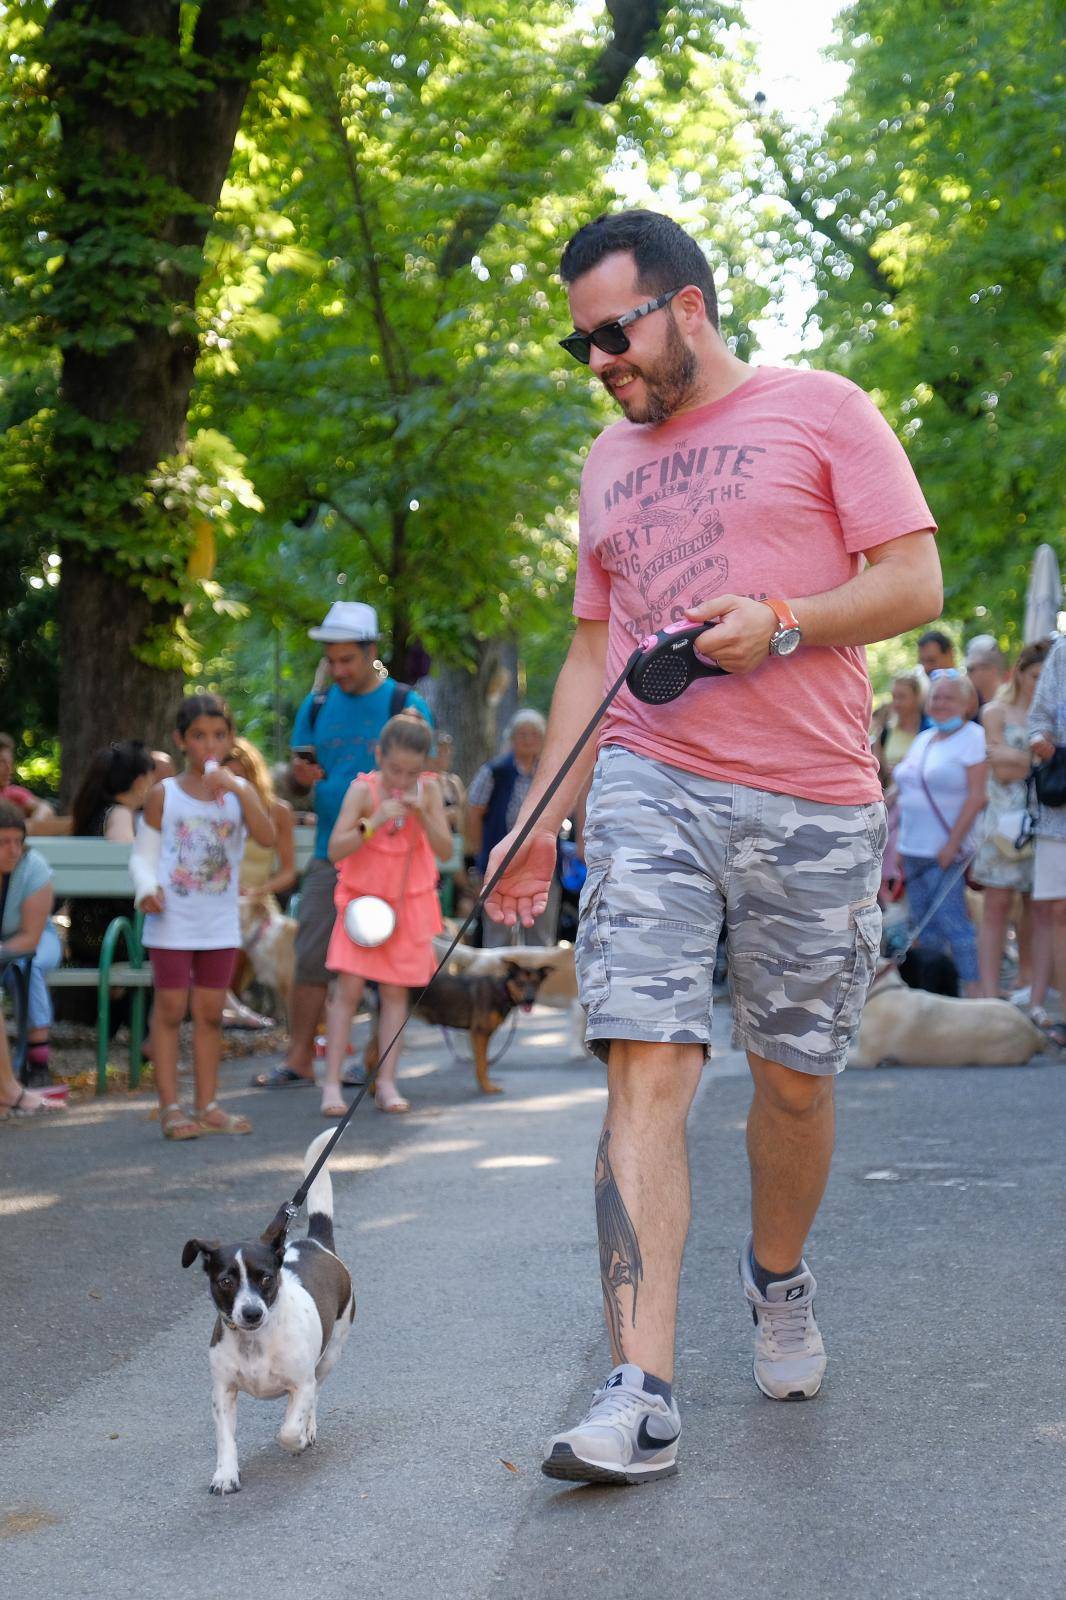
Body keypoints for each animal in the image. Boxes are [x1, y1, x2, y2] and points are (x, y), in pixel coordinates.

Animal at [180, 1132, 350, 1491]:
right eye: (226, 1281)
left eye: (266, 1278)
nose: (251, 1313)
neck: (255, 1342)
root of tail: (317, 1243)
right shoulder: (223, 1392)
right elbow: (225, 1439)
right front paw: (226, 1474)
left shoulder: (301, 1383)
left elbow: (289, 1427)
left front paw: (297, 1439)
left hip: (331, 1353)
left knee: (315, 1394)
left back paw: (308, 1430)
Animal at [363, 953, 550, 1094]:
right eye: (520, 983)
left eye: (536, 983)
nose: (530, 1000)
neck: (502, 990)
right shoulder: (480, 1033)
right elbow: (482, 1065)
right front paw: (487, 1087)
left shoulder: (480, 1036)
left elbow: (481, 1062)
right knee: (372, 1057)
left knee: (369, 1055)